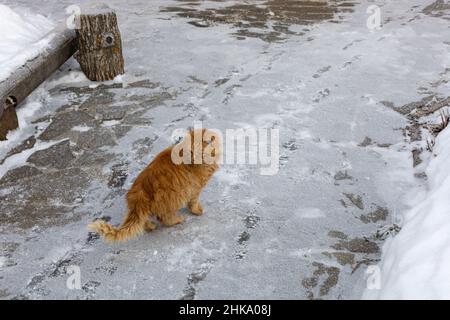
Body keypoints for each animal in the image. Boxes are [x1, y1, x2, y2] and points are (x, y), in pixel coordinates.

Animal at [88, 128, 221, 242]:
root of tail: (139, 193)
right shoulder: (195, 189)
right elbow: (193, 203)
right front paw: (197, 210)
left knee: (145, 221)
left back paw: (151, 226)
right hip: (174, 198)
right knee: (165, 219)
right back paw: (178, 219)